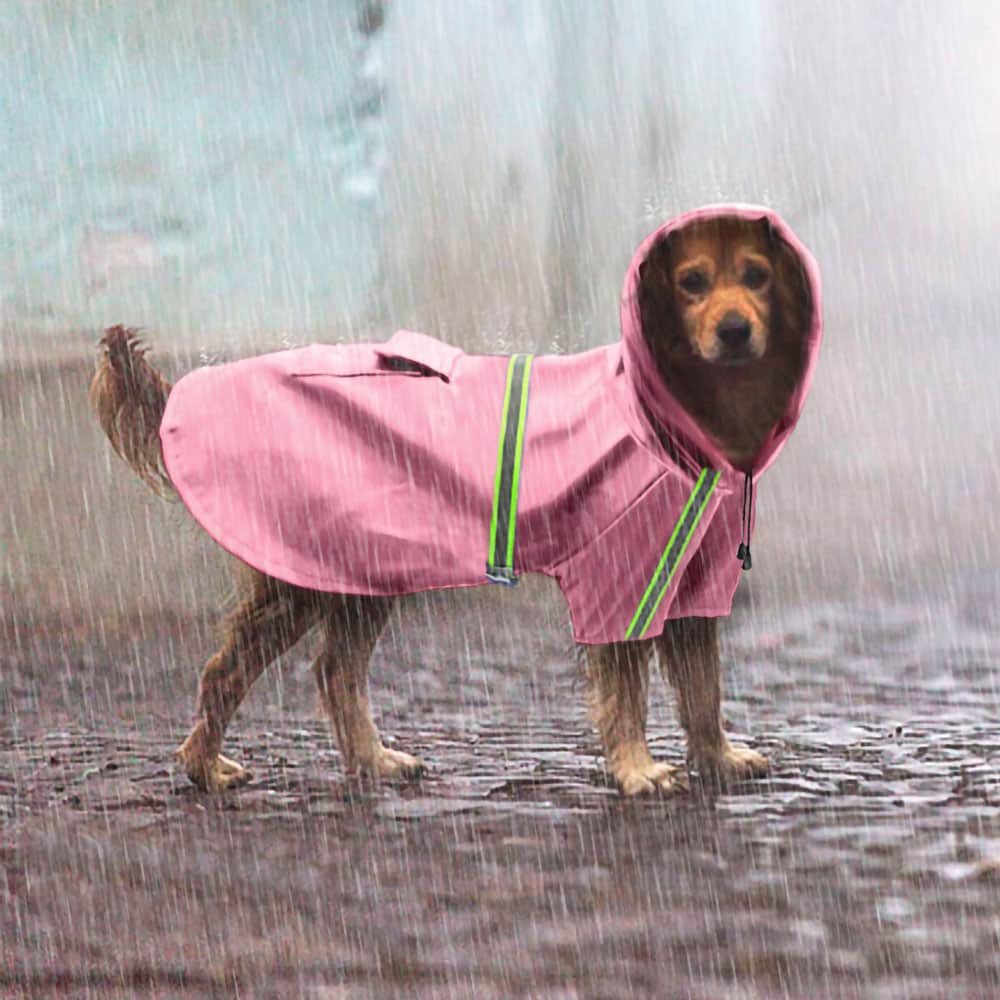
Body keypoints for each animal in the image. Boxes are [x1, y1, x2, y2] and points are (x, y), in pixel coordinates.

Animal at [92, 203, 820, 796]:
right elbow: (628, 690)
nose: (734, 330)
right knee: (229, 670)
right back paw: (204, 768)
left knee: (334, 670)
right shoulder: (617, 582)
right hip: (301, 575)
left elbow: (704, 689)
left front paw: (718, 758)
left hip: (362, 573)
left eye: (757, 277)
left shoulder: (697, 587)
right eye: (691, 283)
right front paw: (638, 769)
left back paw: (373, 761)